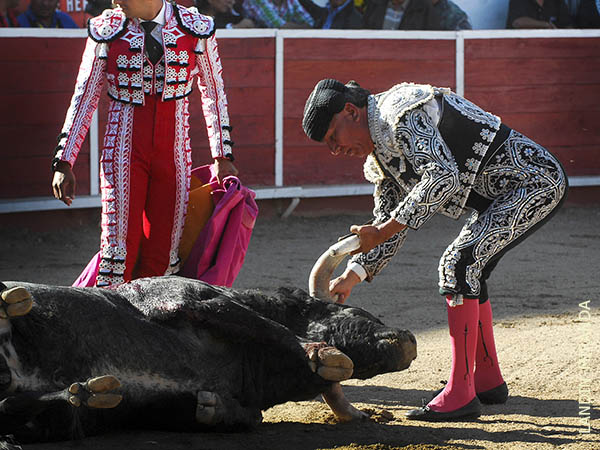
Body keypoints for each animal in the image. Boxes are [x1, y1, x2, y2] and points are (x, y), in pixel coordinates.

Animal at [0, 276, 418, 444]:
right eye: (354, 311)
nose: (410, 340)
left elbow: (239, 417)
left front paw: (211, 408)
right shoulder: (189, 298)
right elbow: (272, 327)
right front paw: (323, 354)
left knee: (18, 409)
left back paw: (85, 392)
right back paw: (10, 304)